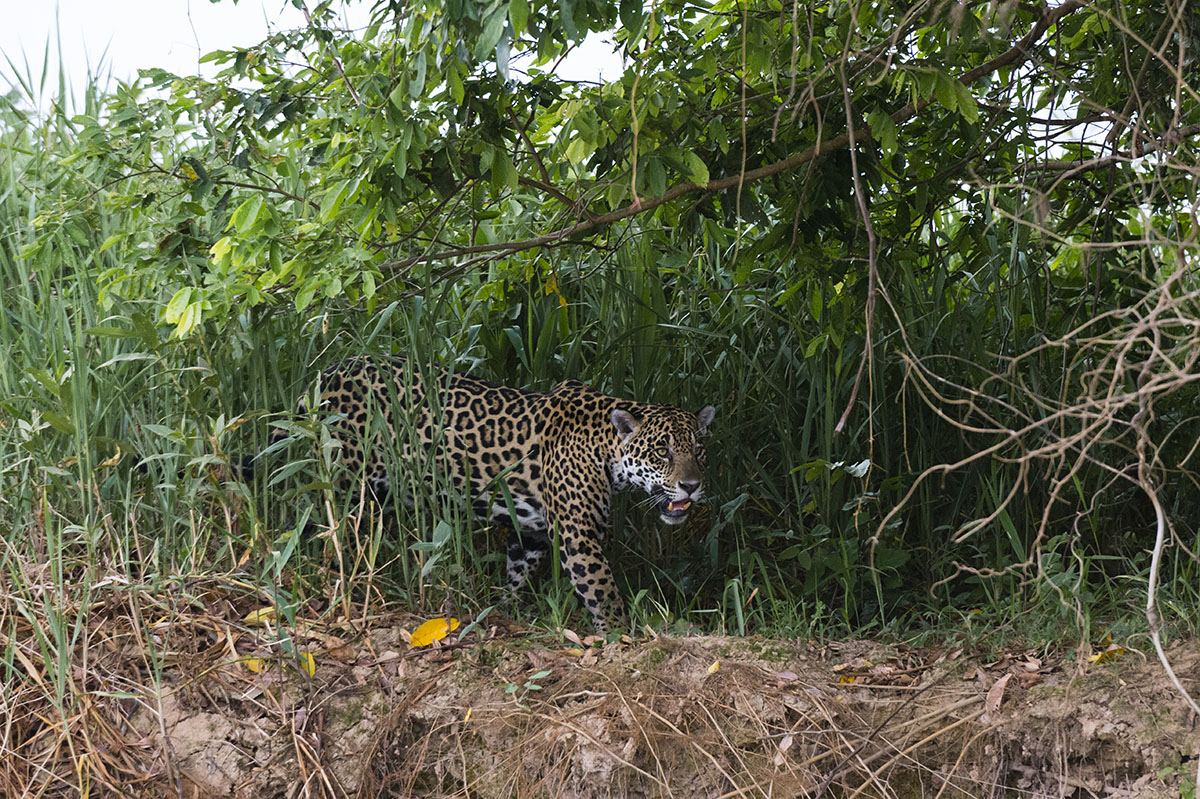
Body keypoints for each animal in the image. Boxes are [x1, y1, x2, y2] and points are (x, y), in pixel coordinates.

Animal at [278, 355, 715, 633]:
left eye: (698, 450)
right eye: (662, 451)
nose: (692, 486)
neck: (605, 448)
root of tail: (329, 371)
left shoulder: (532, 532)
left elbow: (518, 571)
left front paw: (509, 609)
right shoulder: (578, 536)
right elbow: (601, 589)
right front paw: (621, 634)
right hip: (345, 480)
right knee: (319, 527)